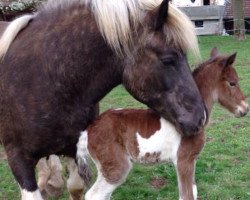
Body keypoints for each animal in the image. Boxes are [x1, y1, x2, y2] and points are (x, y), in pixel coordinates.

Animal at [77, 47, 248, 200]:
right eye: (232, 83)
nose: (245, 109)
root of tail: (89, 130)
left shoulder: (191, 161)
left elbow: (193, 192)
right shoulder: (184, 160)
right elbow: (186, 196)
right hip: (116, 167)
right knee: (94, 195)